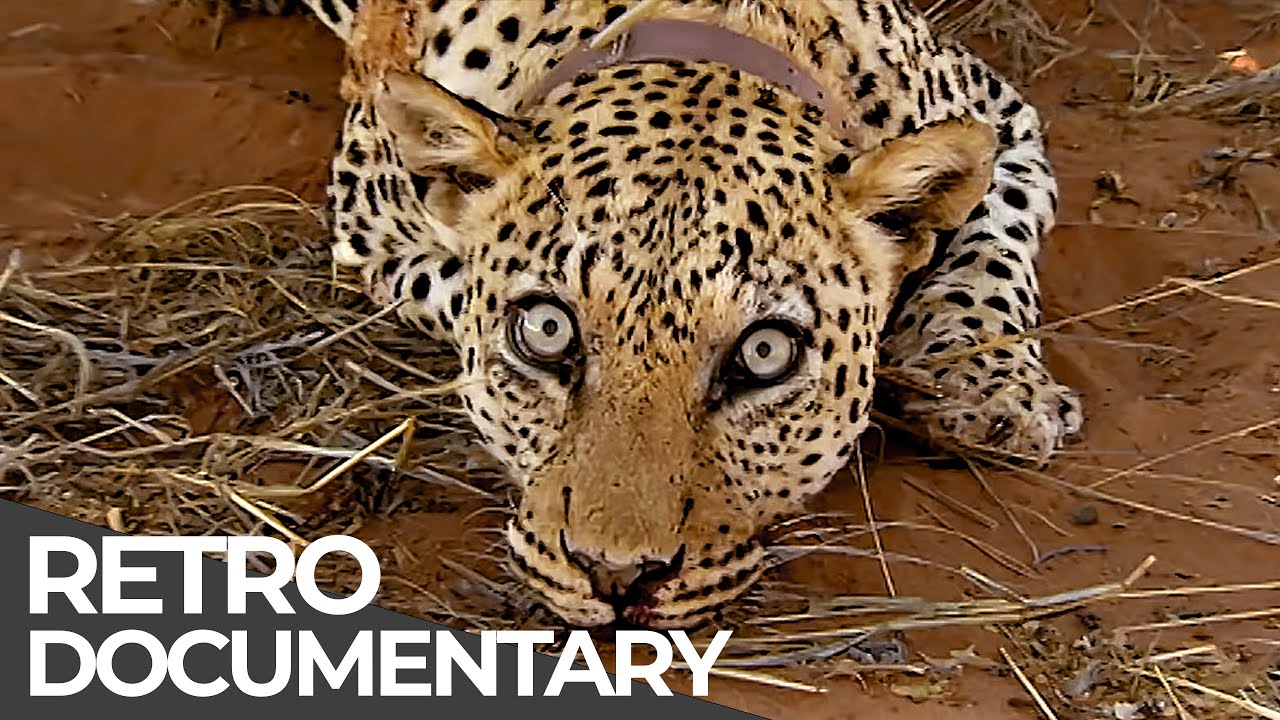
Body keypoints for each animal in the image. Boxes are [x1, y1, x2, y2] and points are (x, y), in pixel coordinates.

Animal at [259, 0, 1082, 629]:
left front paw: (996, 393)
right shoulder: (371, 230)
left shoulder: (999, 115)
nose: (615, 575)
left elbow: (996, 245)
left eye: (764, 354)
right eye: (545, 332)